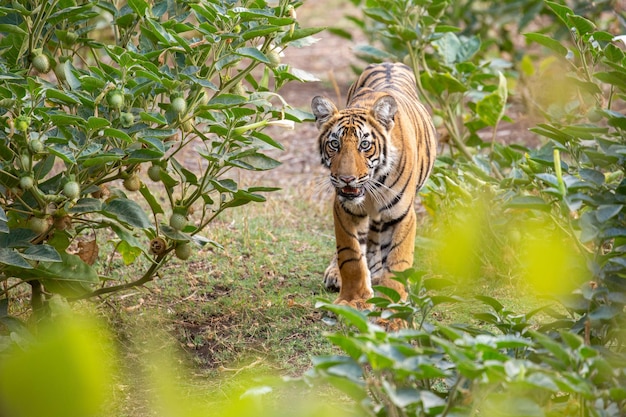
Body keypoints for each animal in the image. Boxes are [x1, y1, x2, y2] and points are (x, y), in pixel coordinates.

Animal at [310, 61, 436, 304]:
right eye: (334, 144)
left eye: (365, 145)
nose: (346, 178)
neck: (373, 185)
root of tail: (389, 62)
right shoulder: (344, 209)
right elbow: (350, 256)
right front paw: (351, 299)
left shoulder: (401, 214)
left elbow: (398, 259)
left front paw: (393, 301)